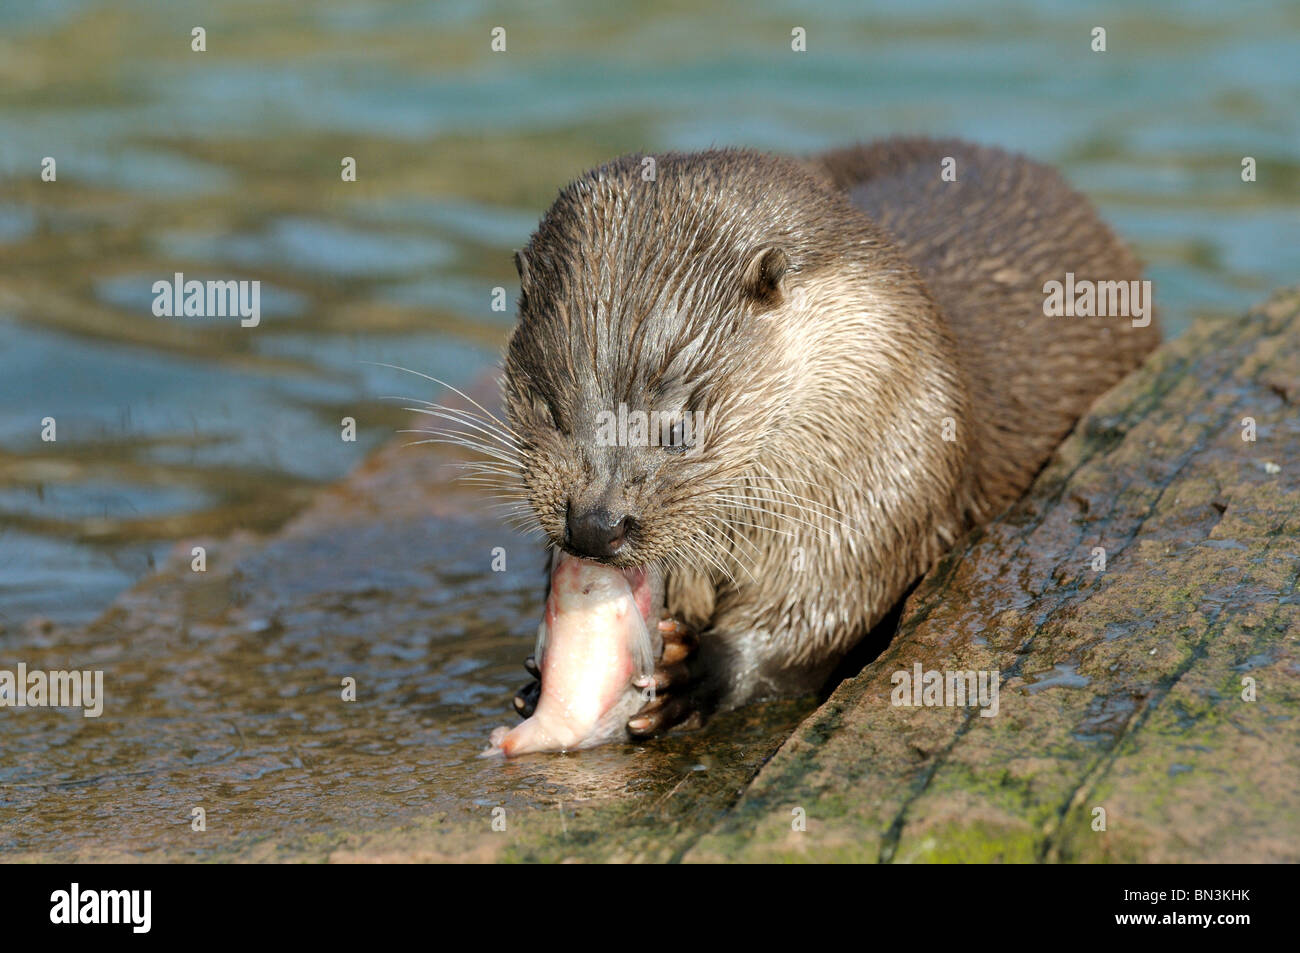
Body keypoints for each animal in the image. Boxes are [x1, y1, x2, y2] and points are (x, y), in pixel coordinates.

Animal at [493, 139, 1159, 738]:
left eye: (679, 426)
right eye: (549, 409)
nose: (595, 525)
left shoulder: (890, 466)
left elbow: (826, 607)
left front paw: (700, 671)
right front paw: (536, 678)